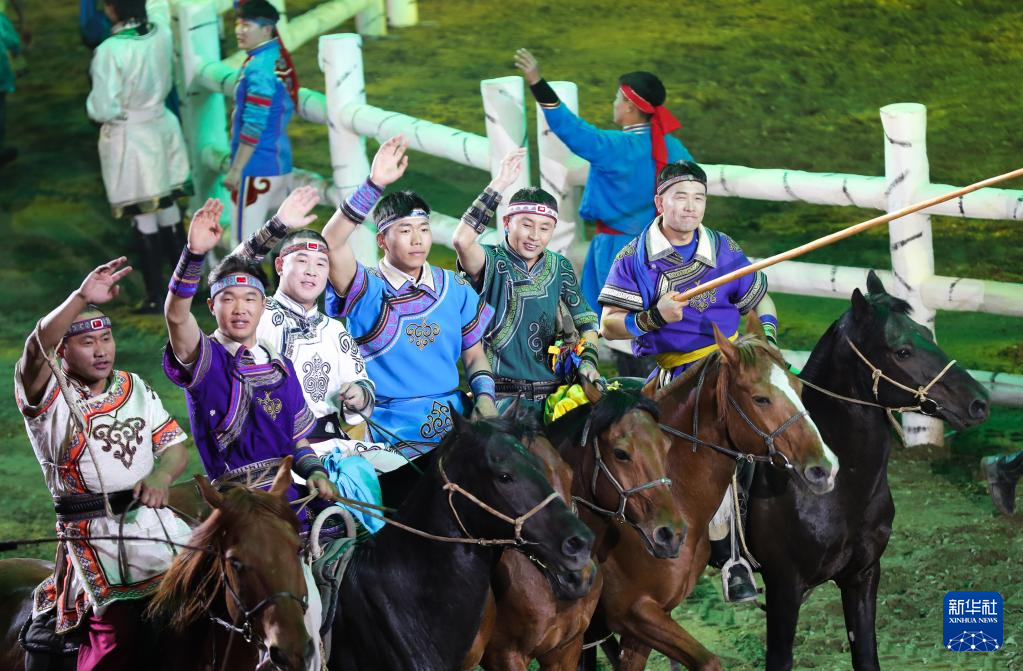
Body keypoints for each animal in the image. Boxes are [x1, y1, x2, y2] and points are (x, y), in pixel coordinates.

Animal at [747, 271, 989, 671]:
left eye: (927, 334)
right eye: (902, 350)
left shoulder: (862, 576)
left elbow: (866, 655)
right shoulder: (783, 586)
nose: (979, 402)